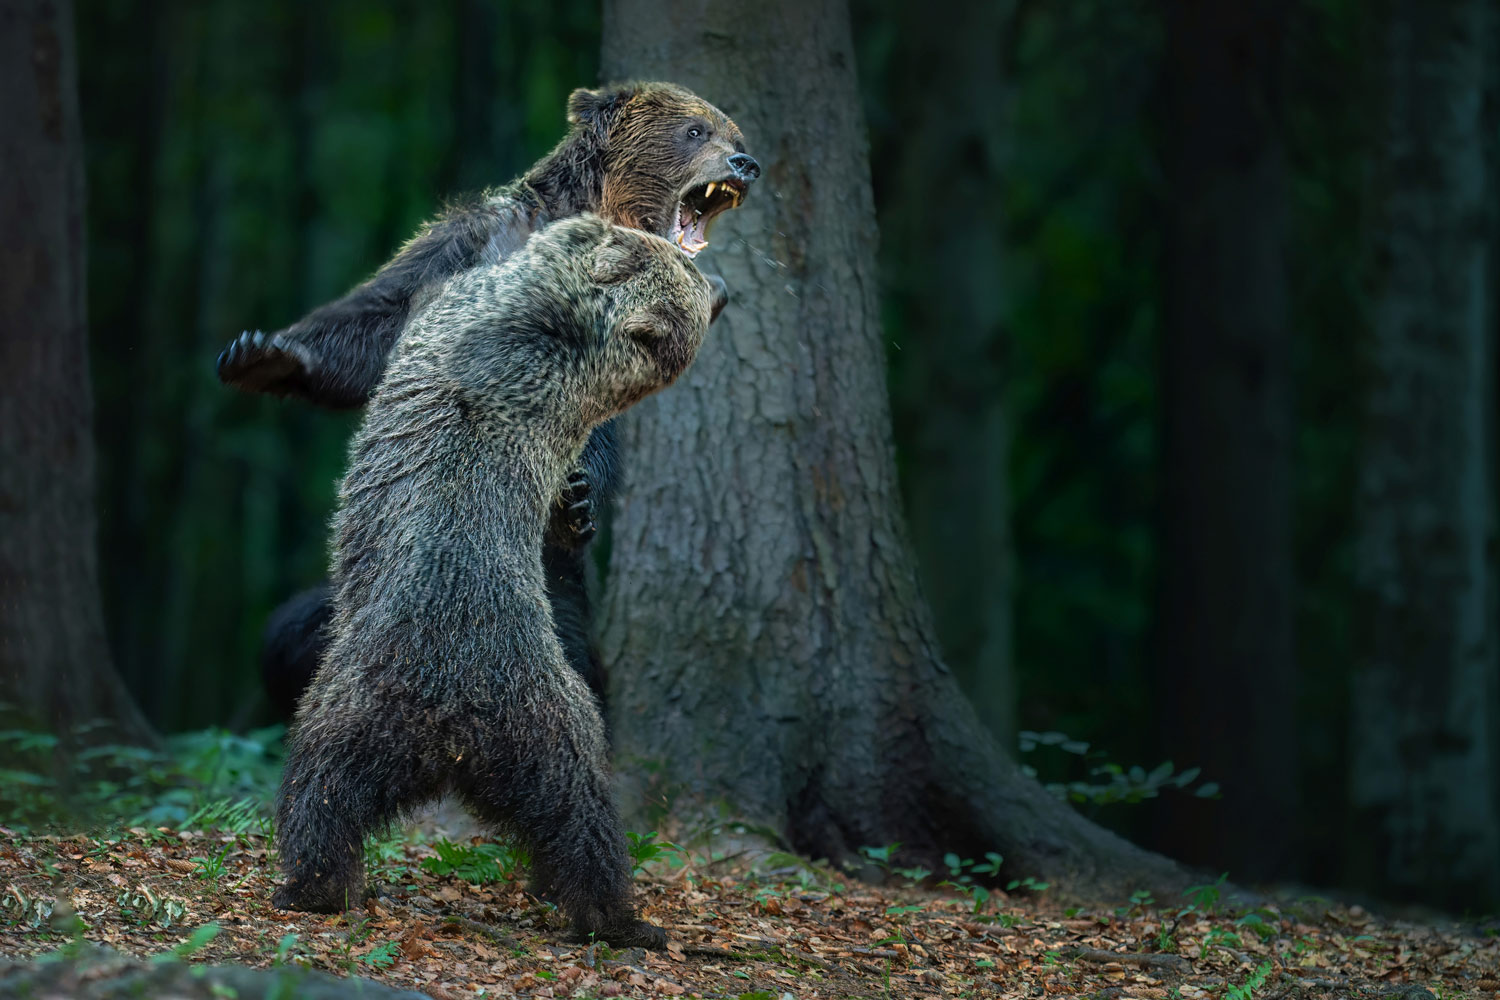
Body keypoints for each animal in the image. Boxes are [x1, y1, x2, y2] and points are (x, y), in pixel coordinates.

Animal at [219, 82, 762, 716]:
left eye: (734, 133)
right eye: (696, 131)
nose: (745, 163)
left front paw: (577, 498)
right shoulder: (470, 244)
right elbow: (380, 317)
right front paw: (265, 353)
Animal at [279, 212, 729, 947]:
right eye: (687, 274)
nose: (720, 286)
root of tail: (457, 723)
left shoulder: (472, 315)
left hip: (413, 702)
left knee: (326, 792)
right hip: (486, 724)